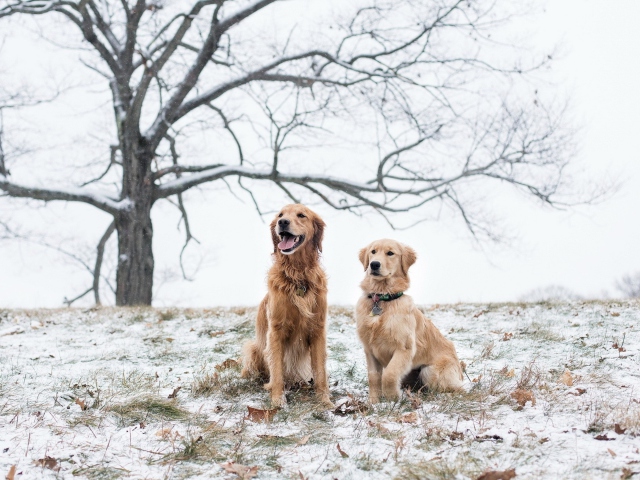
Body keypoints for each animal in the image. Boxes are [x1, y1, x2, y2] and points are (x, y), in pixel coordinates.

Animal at [239, 204, 330, 406]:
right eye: (280, 215)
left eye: (301, 215)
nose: (282, 222)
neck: (298, 275)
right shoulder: (276, 330)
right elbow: (277, 371)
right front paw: (278, 400)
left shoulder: (318, 329)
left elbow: (320, 372)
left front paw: (325, 401)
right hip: (253, 348)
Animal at [352, 239, 462, 402]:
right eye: (373, 252)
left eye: (390, 253)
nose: (374, 264)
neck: (382, 298)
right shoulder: (369, 349)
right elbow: (373, 377)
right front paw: (374, 402)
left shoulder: (404, 348)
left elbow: (389, 374)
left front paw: (392, 398)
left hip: (429, 371)